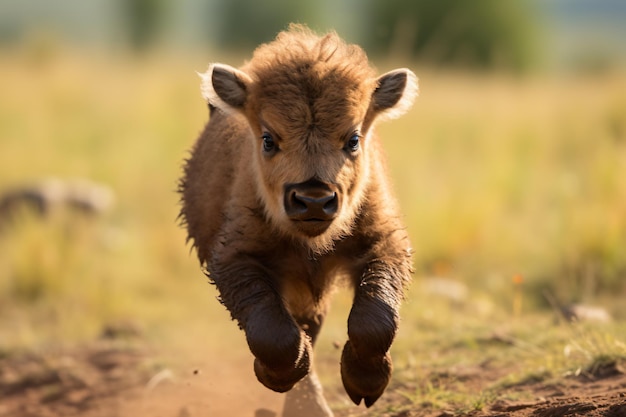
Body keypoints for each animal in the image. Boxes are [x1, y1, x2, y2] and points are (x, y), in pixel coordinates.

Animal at [178, 25, 416, 412]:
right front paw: (281, 373)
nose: (313, 200)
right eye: (268, 139)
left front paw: (365, 384)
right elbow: (274, 332)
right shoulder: (235, 258)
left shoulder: (384, 243)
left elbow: (375, 318)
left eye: (353, 139)